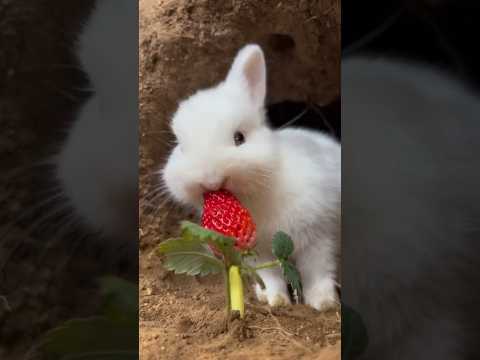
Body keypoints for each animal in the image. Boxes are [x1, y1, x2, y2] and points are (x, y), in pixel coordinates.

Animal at [161, 44, 342, 310]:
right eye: (181, 147)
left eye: (239, 138)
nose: (210, 179)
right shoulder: (257, 251)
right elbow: (270, 276)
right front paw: (275, 300)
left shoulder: (319, 237)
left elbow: (316, 272)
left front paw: (324, 302)